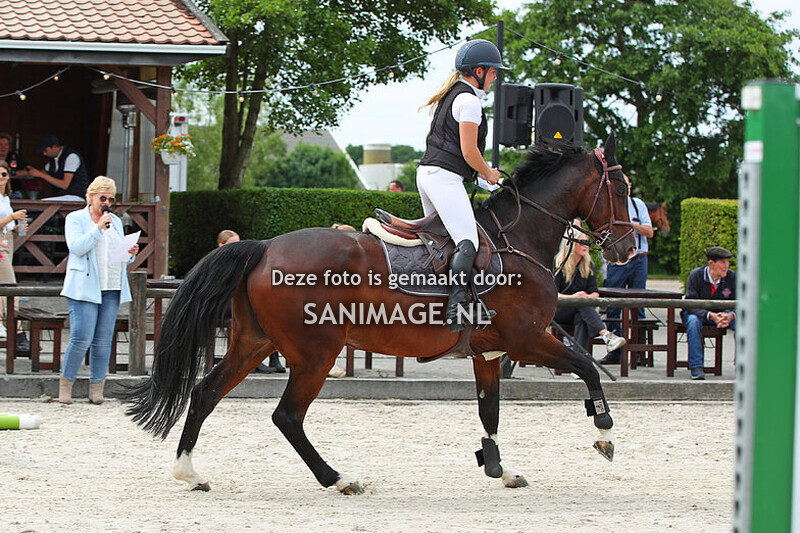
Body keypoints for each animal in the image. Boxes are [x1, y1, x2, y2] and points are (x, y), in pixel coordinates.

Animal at [121, 134, 636, 495]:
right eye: (621, 187)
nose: (630, 247)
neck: (519, 239)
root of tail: (264, 246)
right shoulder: (528, 340)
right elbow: (587, 366)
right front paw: (604, 432)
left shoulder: (488, 352)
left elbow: (489, 410)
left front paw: (500, 468)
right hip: (315, 354)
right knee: (287, 416)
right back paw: (338, 478)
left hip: (254, 343)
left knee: (206, 393)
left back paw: (189, 472)